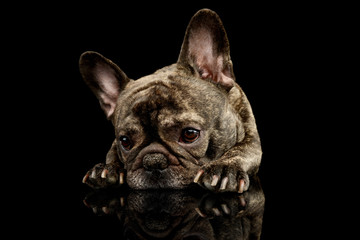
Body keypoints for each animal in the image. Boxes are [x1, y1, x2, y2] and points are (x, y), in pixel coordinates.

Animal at [80, 8, 262, 192]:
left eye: (190, 134)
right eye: (125, 142)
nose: (153, 161)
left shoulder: (252, 141)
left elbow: (241, 151)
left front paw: (224, 169)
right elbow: (111, 153)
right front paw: (109, 168)